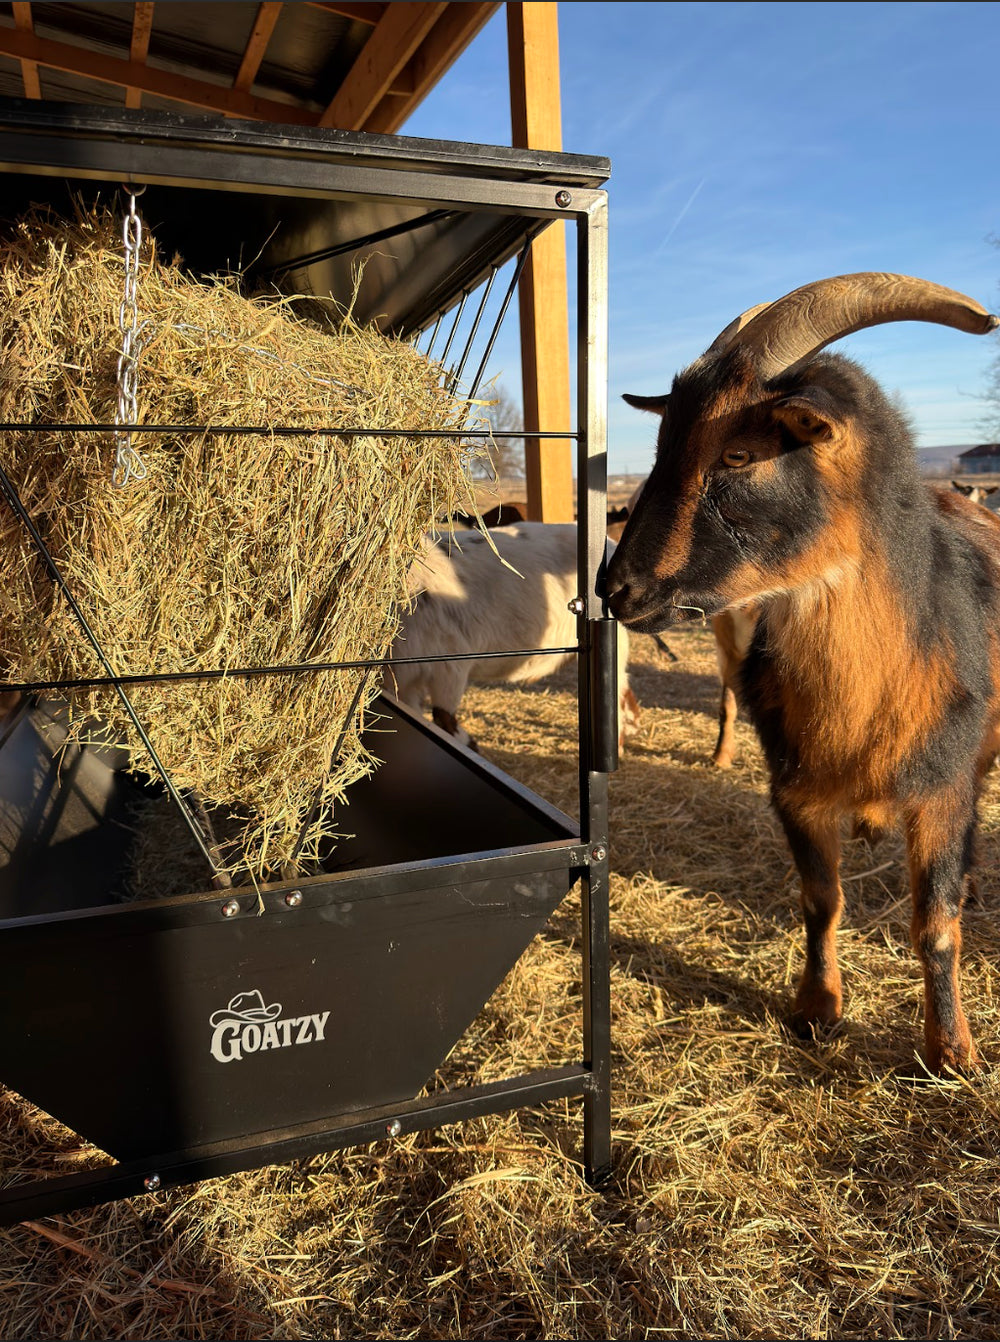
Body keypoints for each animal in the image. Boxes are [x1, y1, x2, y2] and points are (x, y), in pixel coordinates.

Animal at [606, 272, 999, 1074]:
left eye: (739, 453)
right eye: (662, 442)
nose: (616, 589)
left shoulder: (943, 788)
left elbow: (936, 923)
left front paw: (951, 1051)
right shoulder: (797, 789)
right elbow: (822, 902)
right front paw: (816, 1010)